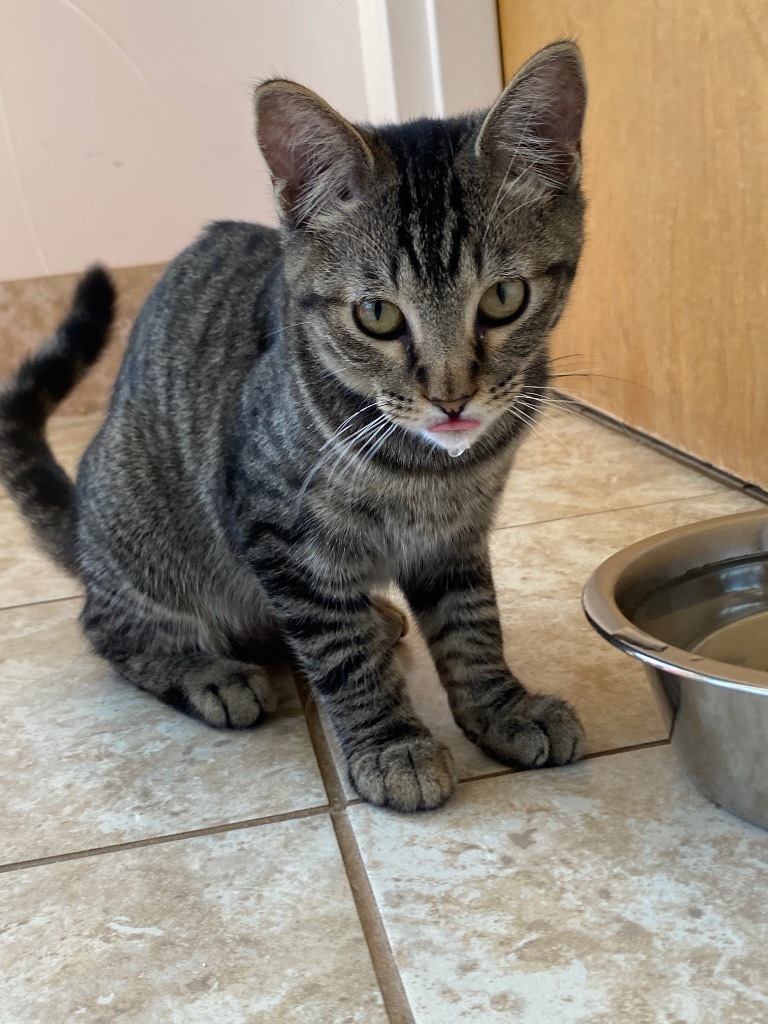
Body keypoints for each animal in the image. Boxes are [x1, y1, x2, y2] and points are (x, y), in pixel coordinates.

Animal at [0, 39, 589, 811]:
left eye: (504, 298)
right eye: (377, 314)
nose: (451, 398)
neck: (428, 472)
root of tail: (83, 532)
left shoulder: (455, 535)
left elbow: (472, 624)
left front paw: (500, 706)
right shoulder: (276, 527)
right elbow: (339, 650)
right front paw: (391, 745)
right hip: (145, 530)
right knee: (110, 626)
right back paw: (208, 672)